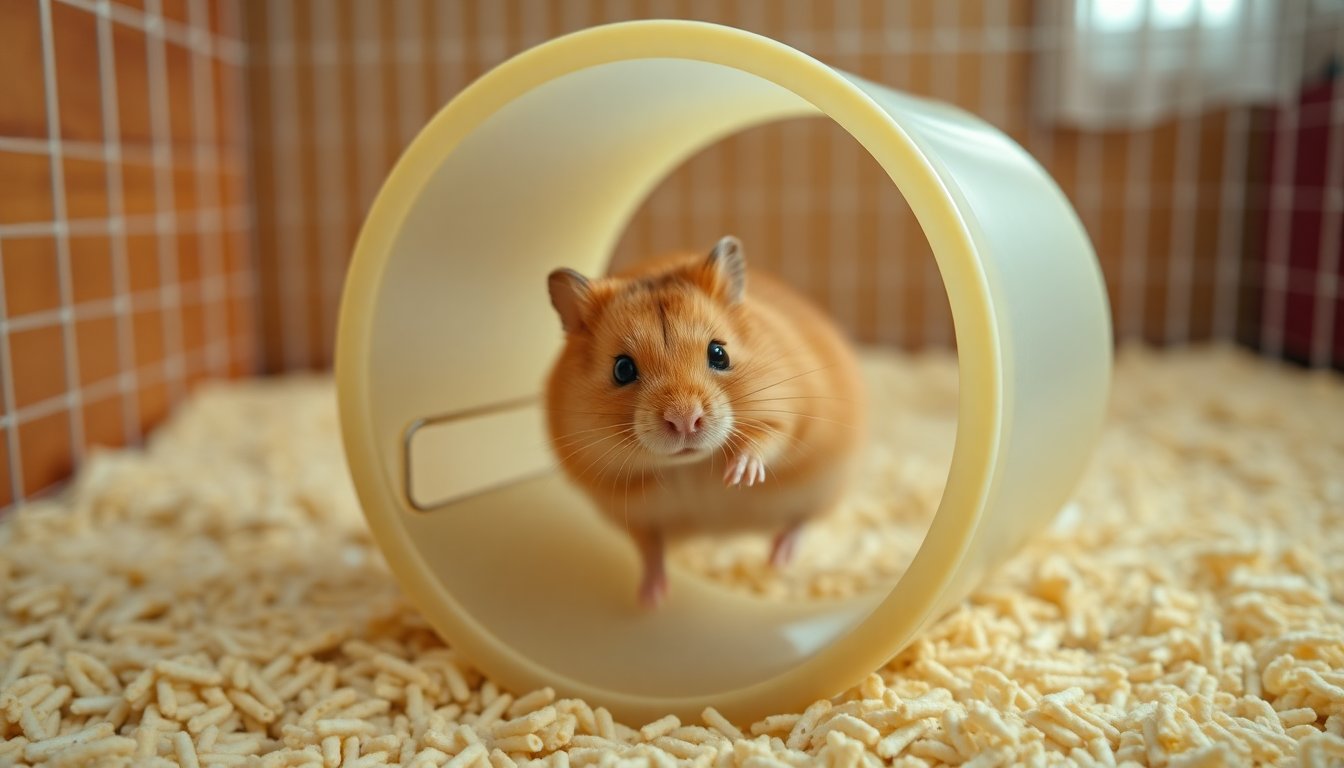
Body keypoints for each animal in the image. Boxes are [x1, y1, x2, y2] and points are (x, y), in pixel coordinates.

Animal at [544, 236, 866, 607]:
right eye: (622, 369)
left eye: (719, 353)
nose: (684, 420)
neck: (691, 465)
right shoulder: (614, 493)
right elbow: (647, 540)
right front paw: (650, 601)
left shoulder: (790, 414)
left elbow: (767, 438)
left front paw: (738, 476)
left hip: (828, 484)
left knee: (802, 521)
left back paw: (778, 560)